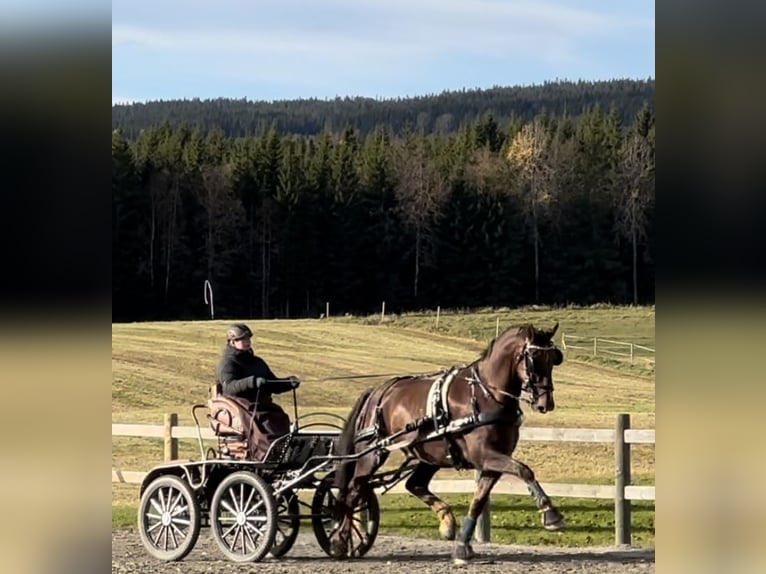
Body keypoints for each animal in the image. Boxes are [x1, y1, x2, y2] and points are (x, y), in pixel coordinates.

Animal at [332, 324, 568, 568]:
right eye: (534, 357)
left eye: (553, 359)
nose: (546, 404)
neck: (486, 394)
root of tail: (378, 391)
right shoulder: (484, 455)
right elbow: (524, 470)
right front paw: (551, 514)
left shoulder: (493, 461)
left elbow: (479, 500)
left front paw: (462, 546)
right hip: (373, 454)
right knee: (354, 490)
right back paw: (340, 541)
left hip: (430, 455)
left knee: (414, 484)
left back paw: (447, 521)